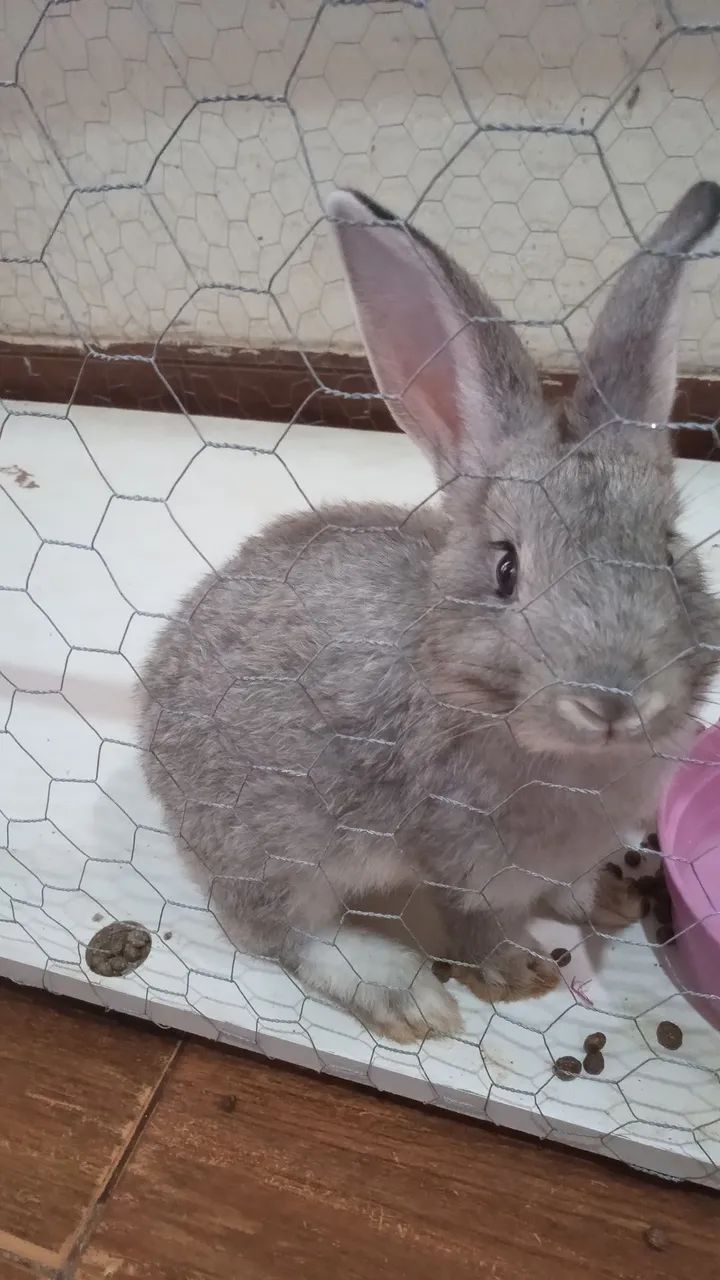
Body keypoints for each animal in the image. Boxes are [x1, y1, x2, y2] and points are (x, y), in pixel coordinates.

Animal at [140, 181, 720, 1044]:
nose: (613, 701)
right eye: (506, 570)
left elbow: (573, 886)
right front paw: (515, 971)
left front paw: (608, 900)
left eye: (671, 547)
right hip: (274, 845)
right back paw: (401, 992)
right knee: (282, 932)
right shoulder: (470, 863)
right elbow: (476, 922)